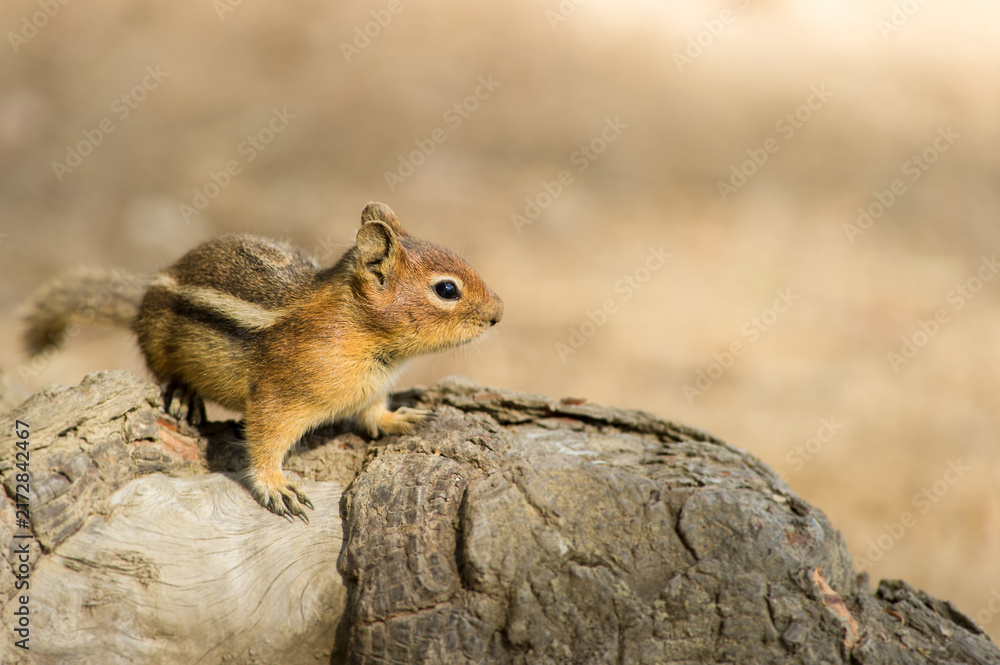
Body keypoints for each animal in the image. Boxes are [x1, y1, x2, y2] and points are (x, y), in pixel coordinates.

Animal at [20, 202, 503, 520]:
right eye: (447, 289)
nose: (498, 313)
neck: (363, 336)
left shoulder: (370, 389)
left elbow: (372, 412)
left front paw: (399, 418)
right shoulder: (280, 396)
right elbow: (265, 440)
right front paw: (276, 486)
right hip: (157, 336)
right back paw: (183, 393)